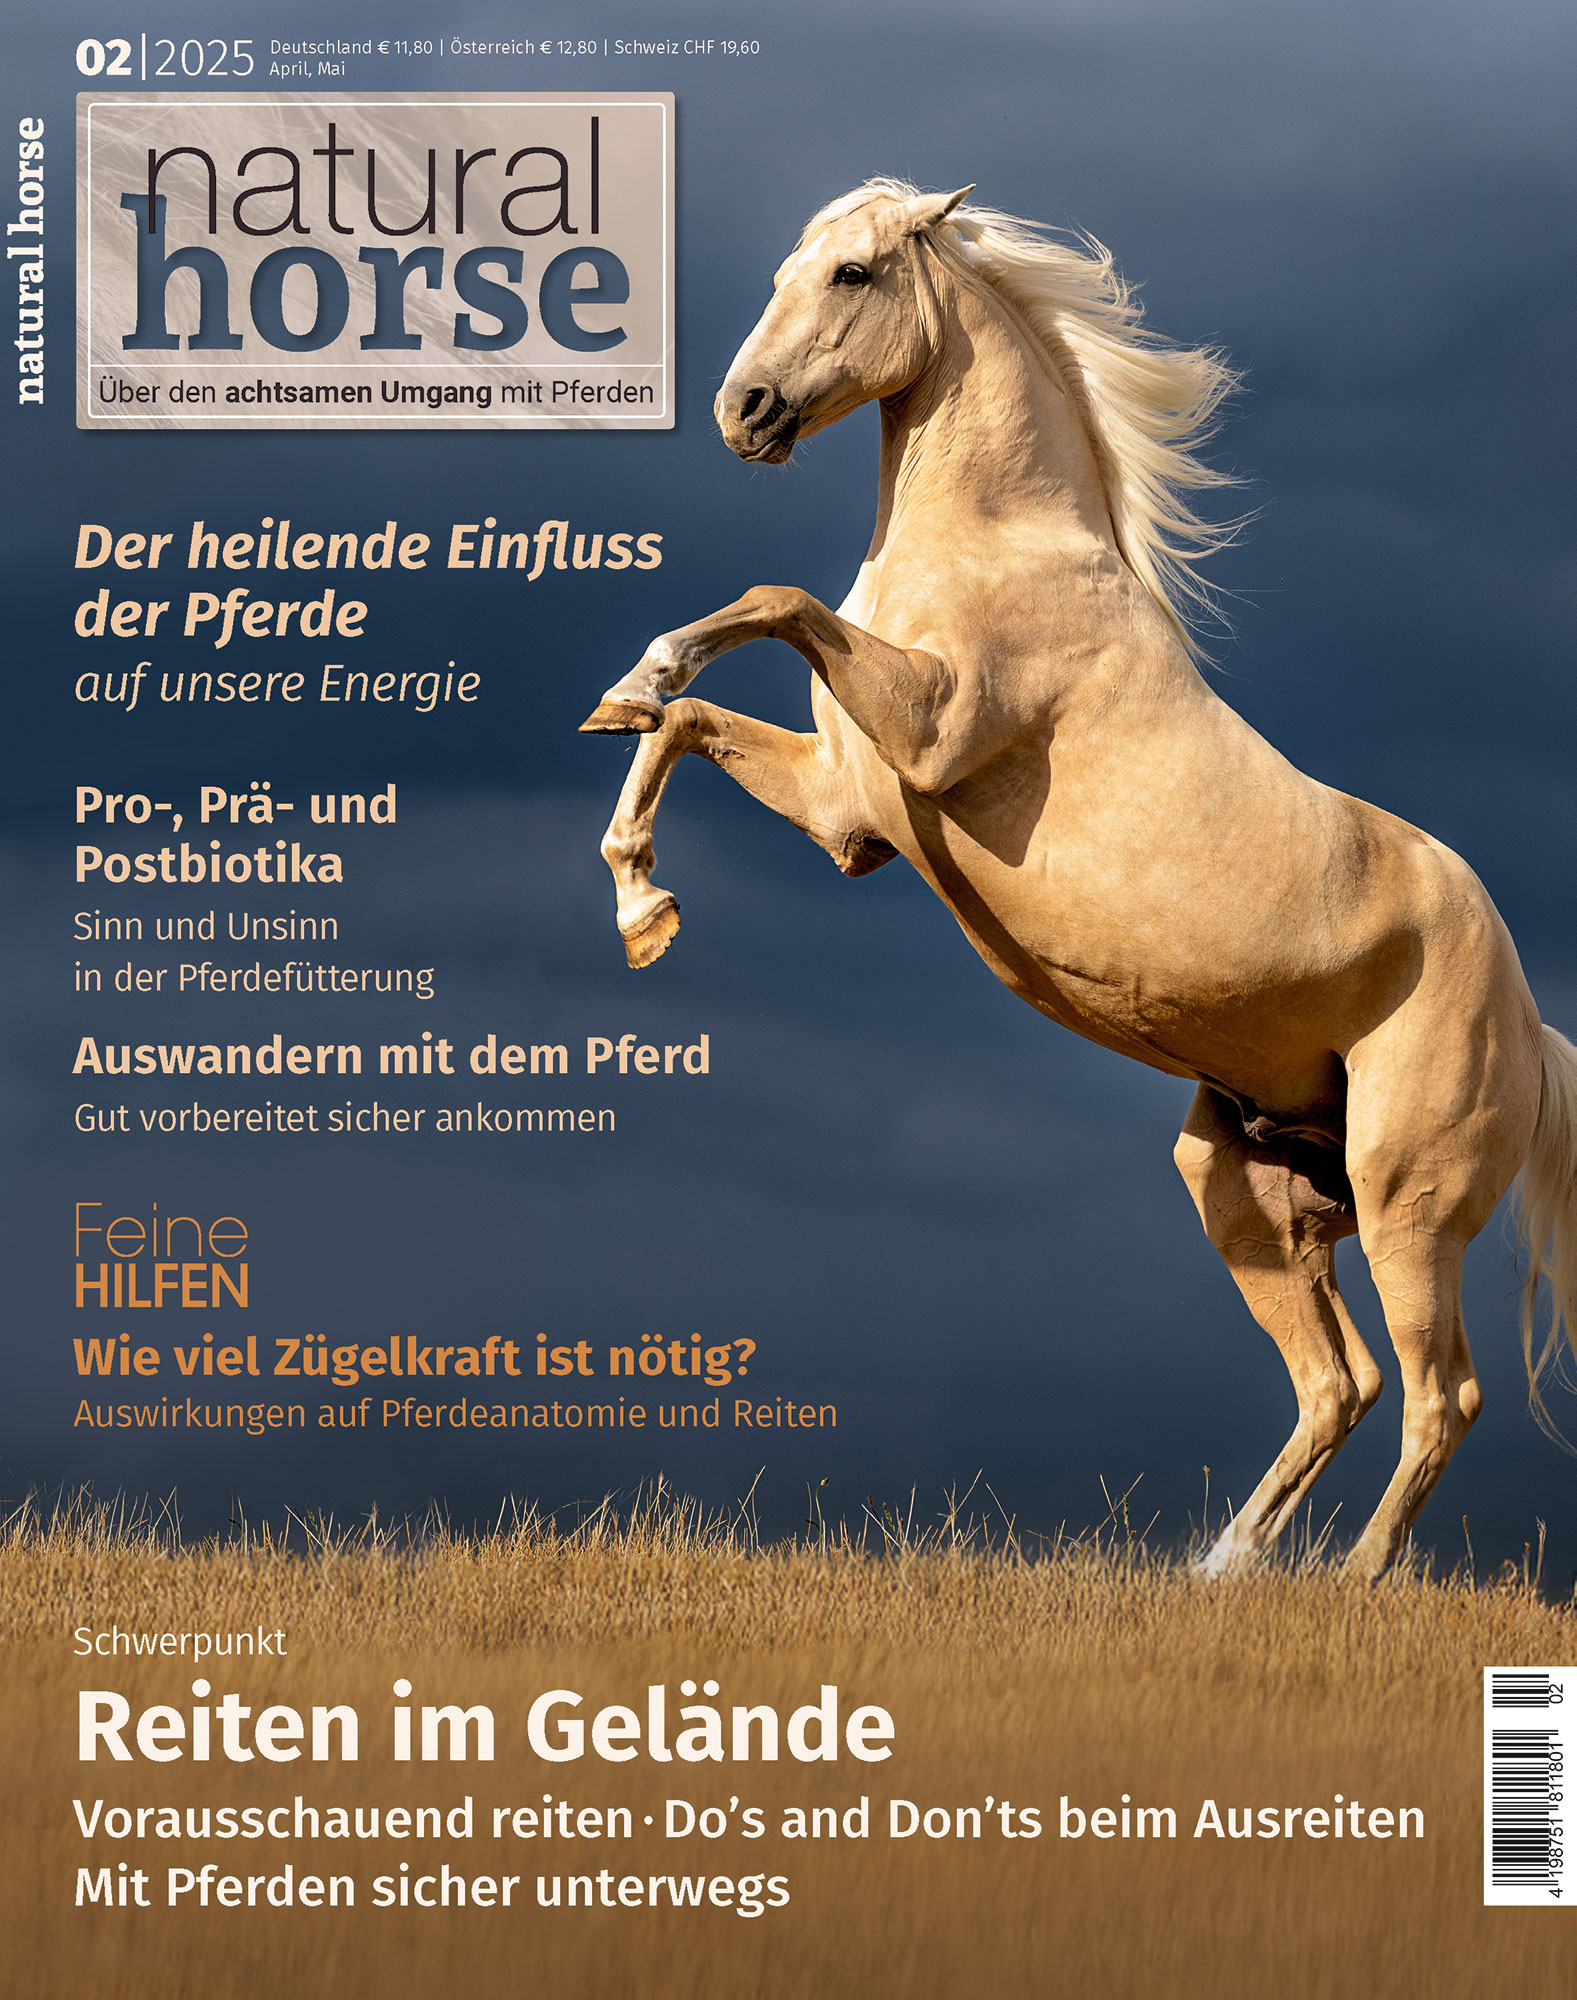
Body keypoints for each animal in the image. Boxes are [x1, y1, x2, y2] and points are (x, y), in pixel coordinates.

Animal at [579, 178, 1577, 1578]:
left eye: (848, 274)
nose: (744, 412)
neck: (1001, 550)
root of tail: (1530, 1021)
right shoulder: (847, 812)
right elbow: (684, 723)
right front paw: (640, 897)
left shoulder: (927, 729)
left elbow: (769, 603)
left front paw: (646, 688)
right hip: (1242, 1189)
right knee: (1339, 1384)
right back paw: (1221, 1571)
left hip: (1404, 1202)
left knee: (1440, 1395)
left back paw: (1352, 1583)